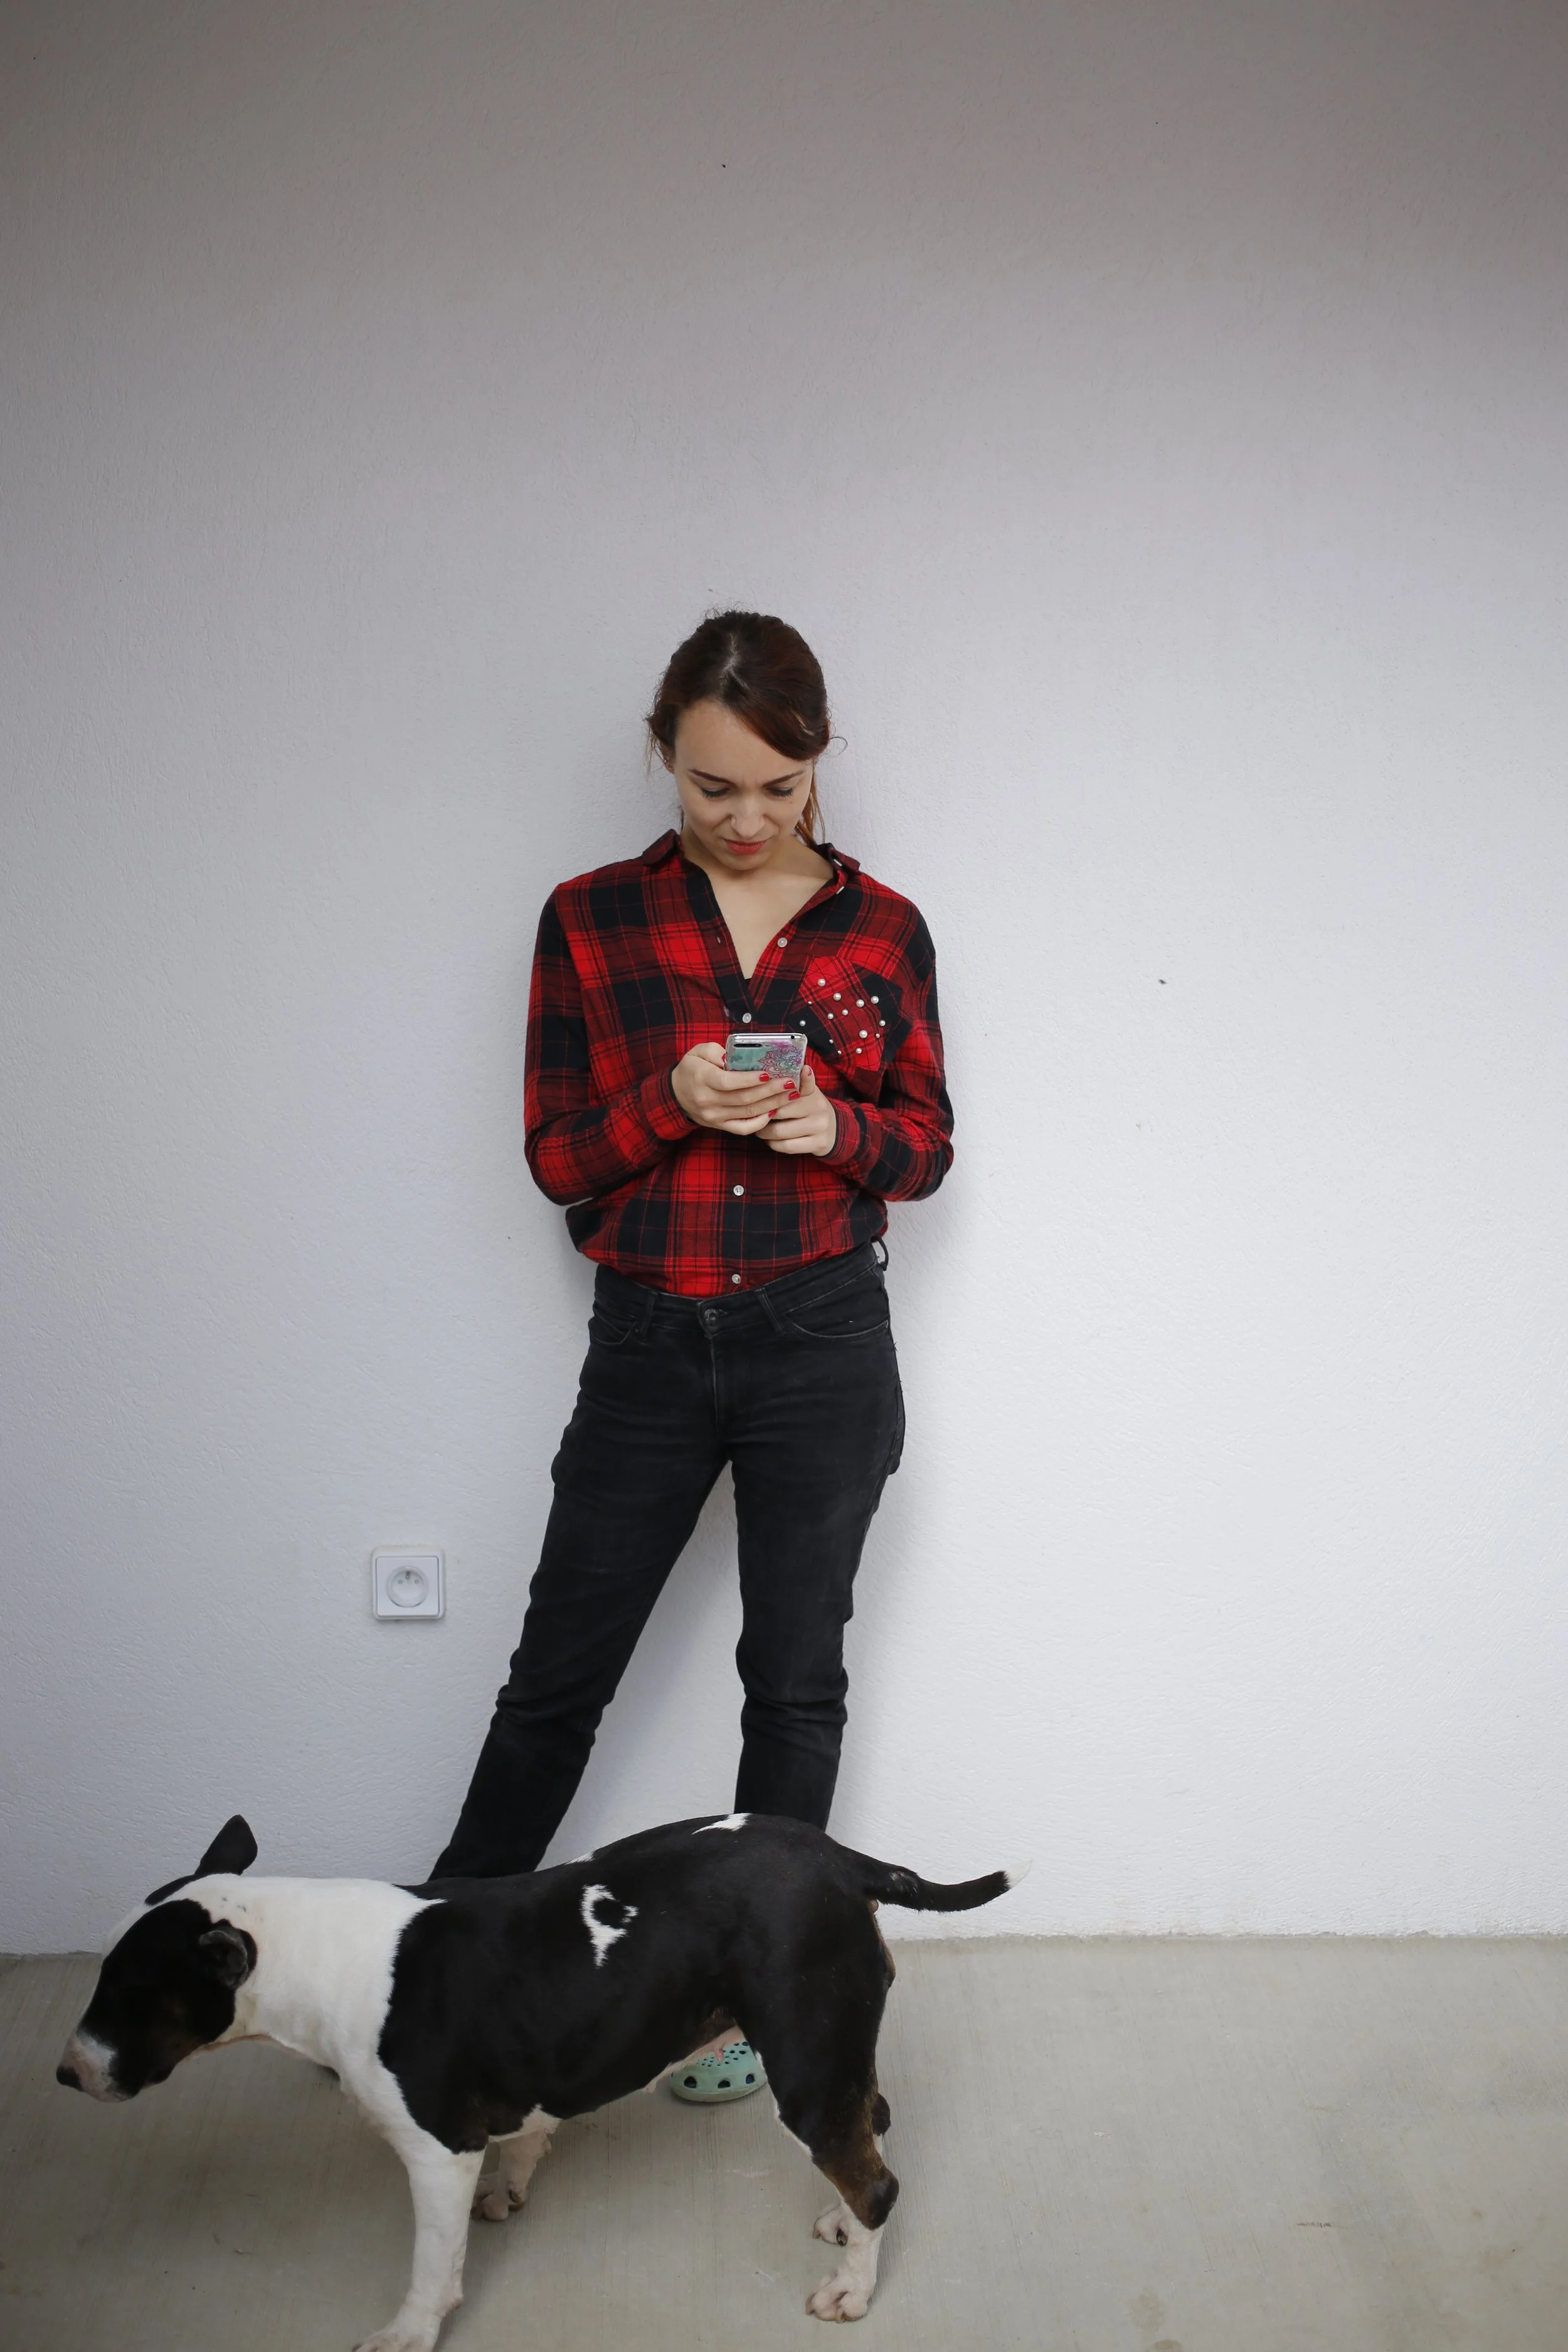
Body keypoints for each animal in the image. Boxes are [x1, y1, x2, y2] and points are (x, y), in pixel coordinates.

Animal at [57, 1810, 1024, 2348]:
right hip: (832, 2053)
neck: (310, 1951)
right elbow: (526, 2135)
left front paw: (408, 2333)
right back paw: (836, 2218)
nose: (66, 2073)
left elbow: (432, 2262)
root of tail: (844, 1859)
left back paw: (853, 2285)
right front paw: (514, 2182)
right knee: (873, 2123)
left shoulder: (435, 2150)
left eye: (128, 1992)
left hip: (807, 2059)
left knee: (876, 2179)